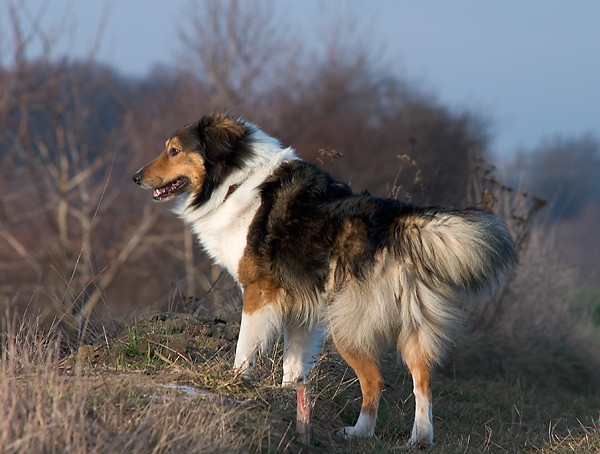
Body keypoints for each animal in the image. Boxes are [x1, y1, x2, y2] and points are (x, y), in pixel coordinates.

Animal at [134, 113, 516, 446]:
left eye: (174, 150)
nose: (136, 177)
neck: (234, 181)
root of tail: (393, 221)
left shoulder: (259, 294)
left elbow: (245, 349)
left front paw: (237, 384)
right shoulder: (300, 306)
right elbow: (294, 364)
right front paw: (288, 397)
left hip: (347, 324)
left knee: (375, 380)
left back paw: (359, 433)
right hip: (413, 325)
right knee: (423, 381)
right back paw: (419, 439)